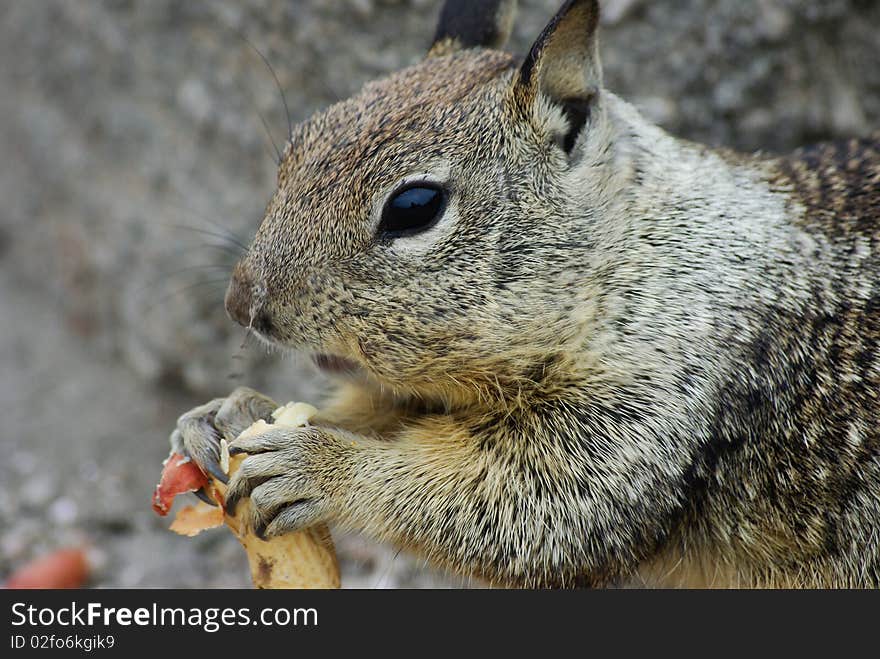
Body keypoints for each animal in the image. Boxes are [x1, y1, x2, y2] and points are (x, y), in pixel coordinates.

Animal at [167, 0, 880, 588]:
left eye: (414, 207)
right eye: (296, 144)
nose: (241, 305)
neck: (632, 258)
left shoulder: (652, 409)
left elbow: (521, 510)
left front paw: (320, 467)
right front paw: (225, 414)